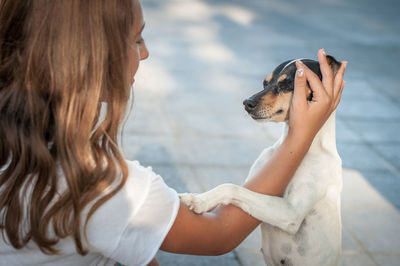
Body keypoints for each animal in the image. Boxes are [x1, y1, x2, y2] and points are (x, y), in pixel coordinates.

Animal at [181, 56, 344, 266]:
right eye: (265, 83)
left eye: (286, 84)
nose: (246, 102)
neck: (305, 148)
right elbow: (235, 190)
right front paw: (202, 198)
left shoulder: (291, 212)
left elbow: (231, 187)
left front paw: (198, 200)